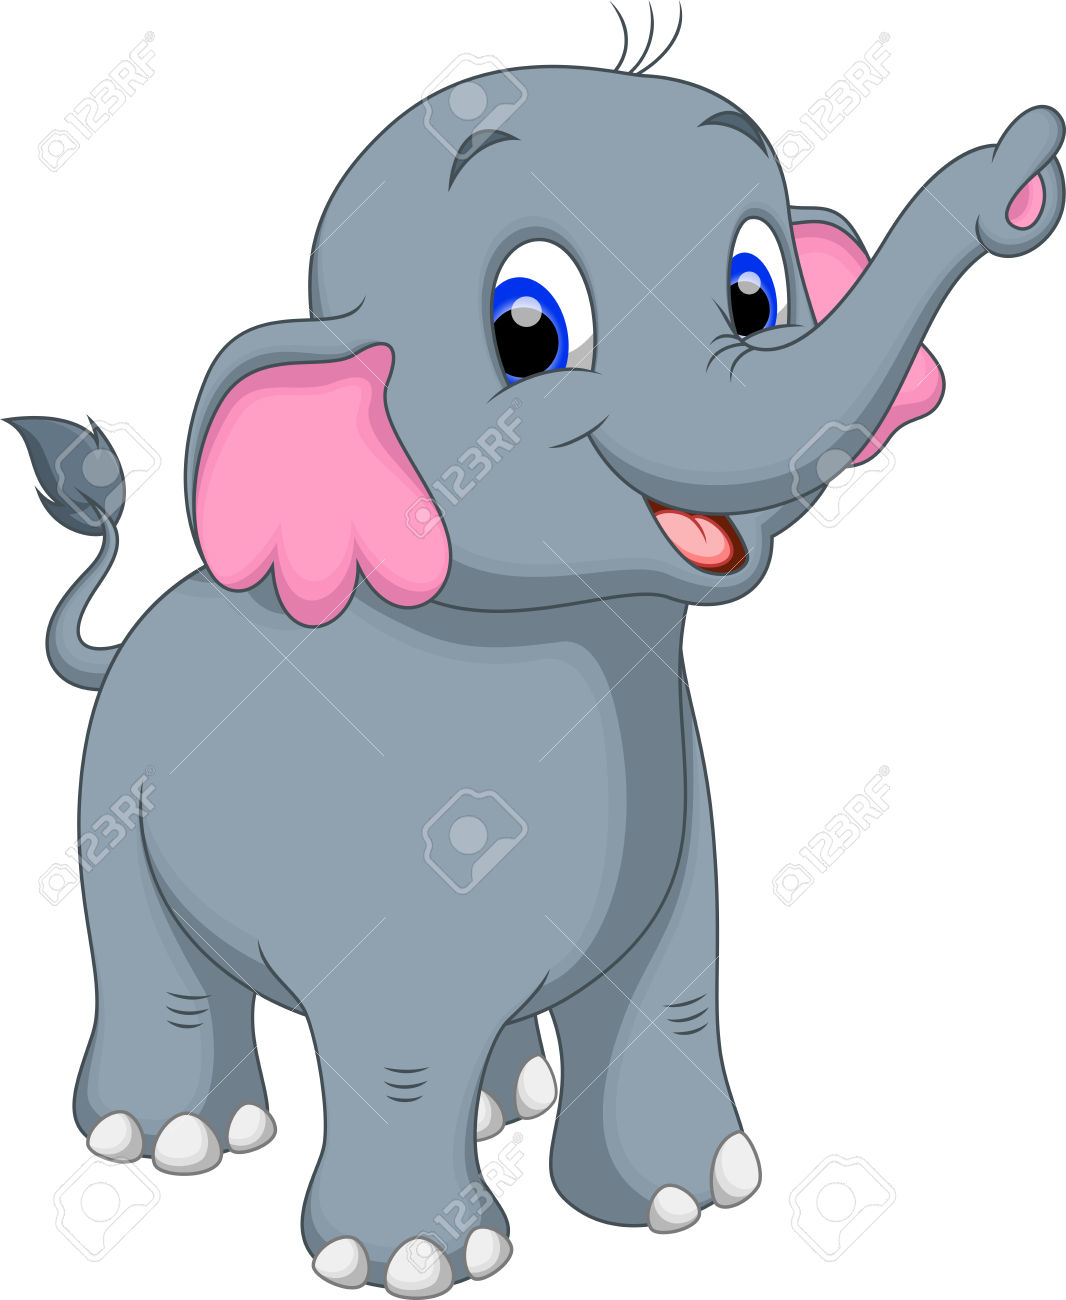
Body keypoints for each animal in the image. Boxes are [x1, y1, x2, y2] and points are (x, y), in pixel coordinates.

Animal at [8, 56, 1063, 1297]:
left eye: (755, 288)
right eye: (529, 329)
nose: (1024, 167)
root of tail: (135, 628)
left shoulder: (680, 835)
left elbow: (674, 983)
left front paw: (686, 1200)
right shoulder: (385, 878)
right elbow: (403, 1041)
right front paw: (419, 1260)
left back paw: (507, 1097)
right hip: (112, 798)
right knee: (152, 962)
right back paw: (170, 1138)